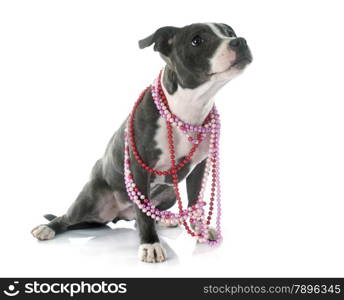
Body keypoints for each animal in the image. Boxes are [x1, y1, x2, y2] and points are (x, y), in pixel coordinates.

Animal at [31, 22, 253, 262]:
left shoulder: (199, 168)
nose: (239, 41)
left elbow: (195, 201)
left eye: (229, 32)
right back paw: (47, 228)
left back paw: (164, 219)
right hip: (89, 201)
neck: (187, 108)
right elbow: (145, 214)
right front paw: (150, 244)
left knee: (143, 215)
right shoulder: (140, 167)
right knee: (69, 217)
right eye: (197, 40)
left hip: (168, 194)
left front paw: (199, 231)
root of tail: (119, 214)